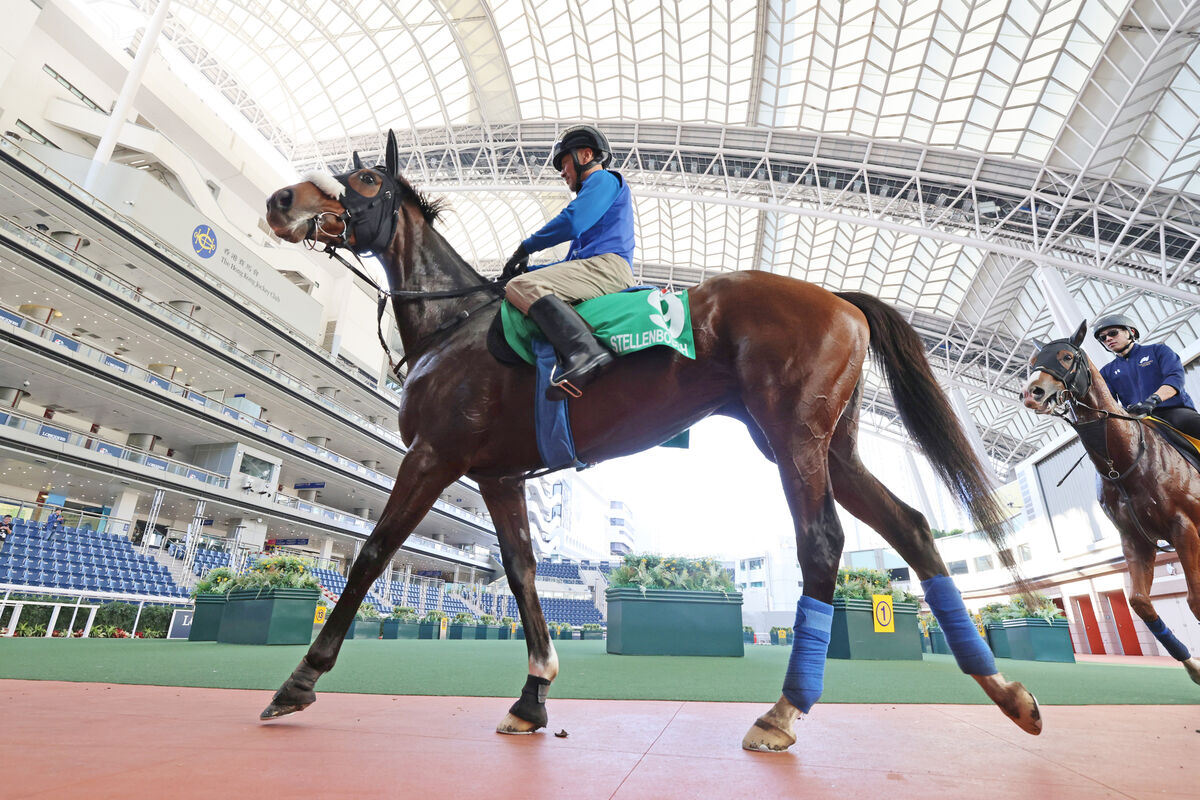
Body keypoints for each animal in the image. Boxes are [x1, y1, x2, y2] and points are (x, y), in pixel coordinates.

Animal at [260, 131, 1041, 753]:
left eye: (365, 181)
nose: (279, 199)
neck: (454, 326)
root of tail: (839, 298)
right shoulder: (498, 477)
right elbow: (523, 576)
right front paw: (532, 699)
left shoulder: (433, 458)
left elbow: (370, 555)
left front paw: (298, 681)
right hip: (833, 447)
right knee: (910, 527)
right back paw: (1006, 691)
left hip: (794, 438)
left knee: (822, 544)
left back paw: (783, 712)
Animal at [1022, 321, 1200, 686]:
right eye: (1032, 361)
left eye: (1066, 356)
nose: (1032, 392)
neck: (1127, 459)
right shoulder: (1136, 540)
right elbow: (1140, 603)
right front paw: (1193, 666)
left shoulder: (1184, 528)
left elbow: (1195, 600)